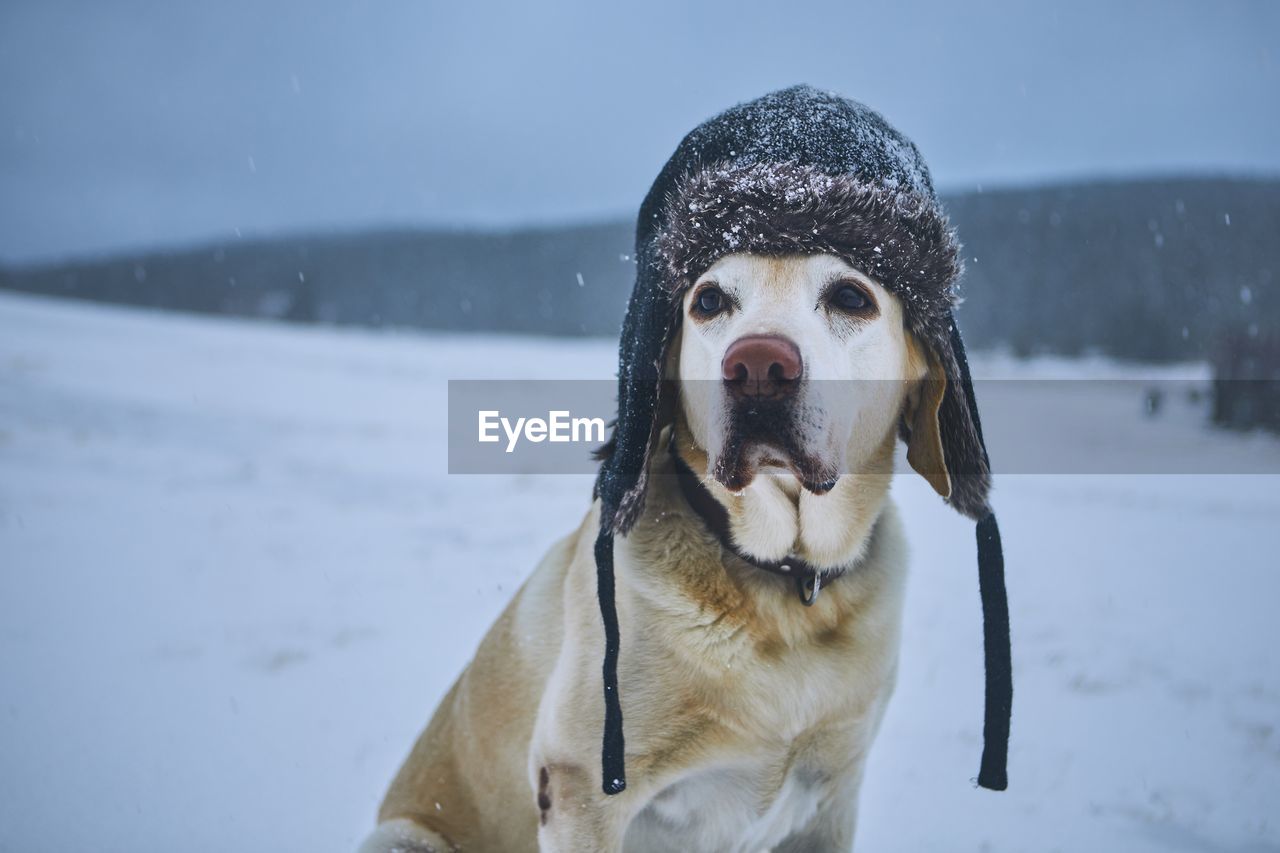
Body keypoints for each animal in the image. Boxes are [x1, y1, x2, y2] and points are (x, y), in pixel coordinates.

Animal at [358, 252, 952, 850]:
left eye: (852, 297)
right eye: (709, 300)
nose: (759, 364)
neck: (781, 584)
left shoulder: (831, 799)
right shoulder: (582, 784)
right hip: (404, 837)